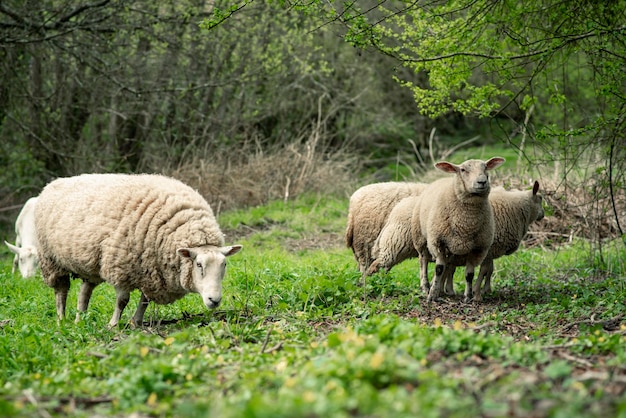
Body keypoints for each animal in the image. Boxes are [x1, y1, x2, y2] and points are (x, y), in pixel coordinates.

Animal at [33, 173, 244, 326]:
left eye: (224, 265)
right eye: (198, 265)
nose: (214, 300)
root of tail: (53, 183)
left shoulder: (153, 273)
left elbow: (145, 300)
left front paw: (136, 322)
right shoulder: (120, 265)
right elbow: (122, 300)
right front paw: (113, 325)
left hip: (91, 261)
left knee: (84, 292)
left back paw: (80, 320)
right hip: (51, 260)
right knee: (61, 291)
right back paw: (62, 320)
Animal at [410, 158, 508, 302]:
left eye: (485, 167)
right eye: (463, 170)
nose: (482, 182)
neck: (466, 224)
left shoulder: (478, 248)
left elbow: (469, 274)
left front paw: (468, 296)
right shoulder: (438, 242)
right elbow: (439, 269)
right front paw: (432, 295)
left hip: (453, 249)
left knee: (448, 265)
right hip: (420, 238)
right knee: (423, 261)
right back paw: (426, 286)